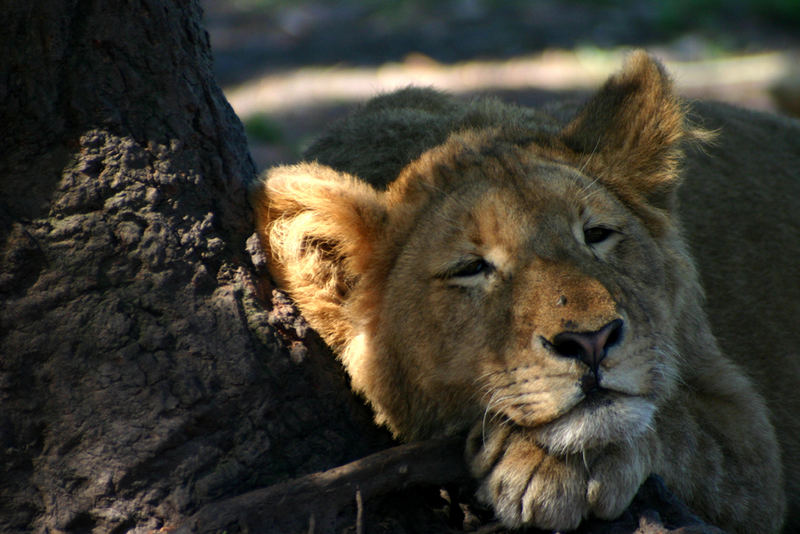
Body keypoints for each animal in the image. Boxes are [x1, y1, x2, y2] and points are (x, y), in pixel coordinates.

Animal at [252, 51, 800, 534]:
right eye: (471, 268)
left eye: (597, 234)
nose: (592, 342)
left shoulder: (747, 438)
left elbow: (673, 424)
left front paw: (562, 465)